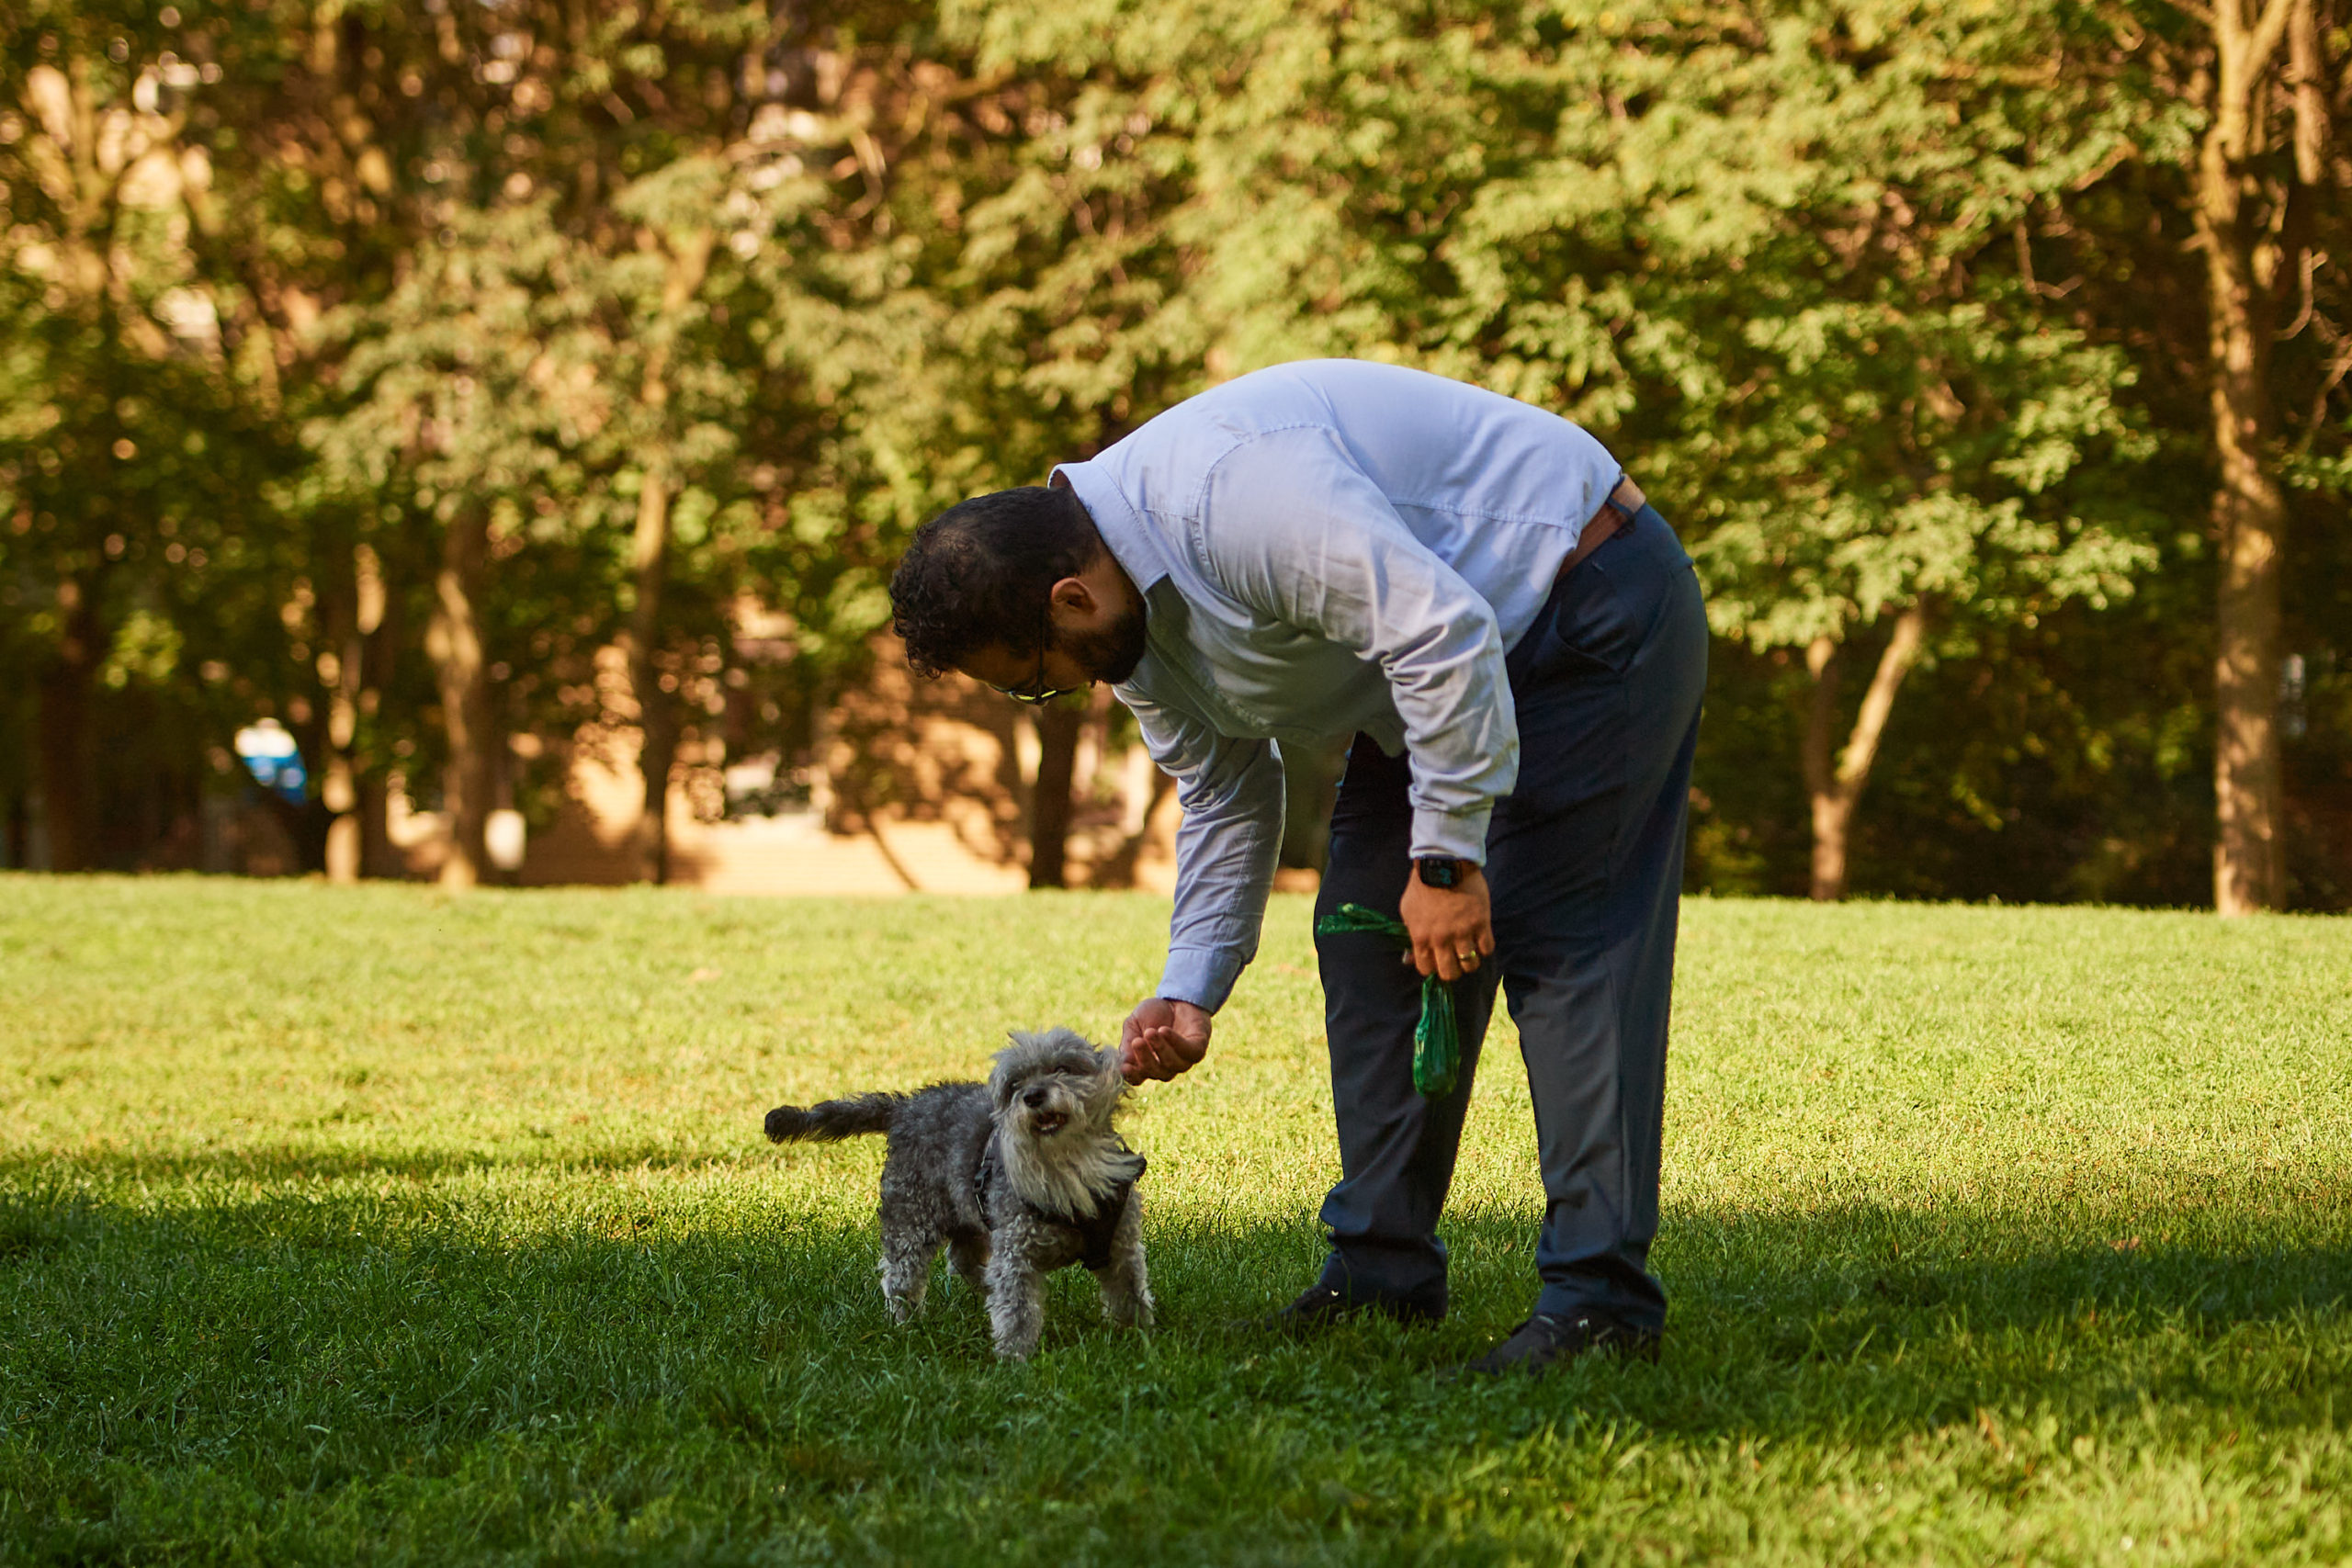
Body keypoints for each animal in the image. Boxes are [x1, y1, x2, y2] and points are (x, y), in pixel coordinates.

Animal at [757, 1029, 1152, 1363]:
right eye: (1015, 1084)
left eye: (1063, 1068)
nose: (1033, 1096)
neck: (1068, 1166)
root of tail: (904, 1106)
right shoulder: (1014, 1255)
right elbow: (1017, 1311)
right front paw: (1016, 1362)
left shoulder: (1120, 1246)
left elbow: (1129, 1292)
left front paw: (1138, 1338)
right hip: (911, 1219)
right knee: (901, 1278)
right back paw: (907, 1325)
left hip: (966, 1216)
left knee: (962, 1259)